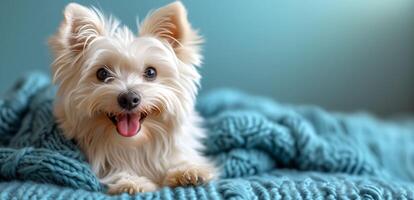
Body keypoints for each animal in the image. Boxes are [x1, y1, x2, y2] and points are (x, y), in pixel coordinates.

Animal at [48, 1, 217, 195]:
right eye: (102, 73)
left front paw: (186, 170)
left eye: (151, 72)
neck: (133, 145)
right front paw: (131, 181)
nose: (129, 98)